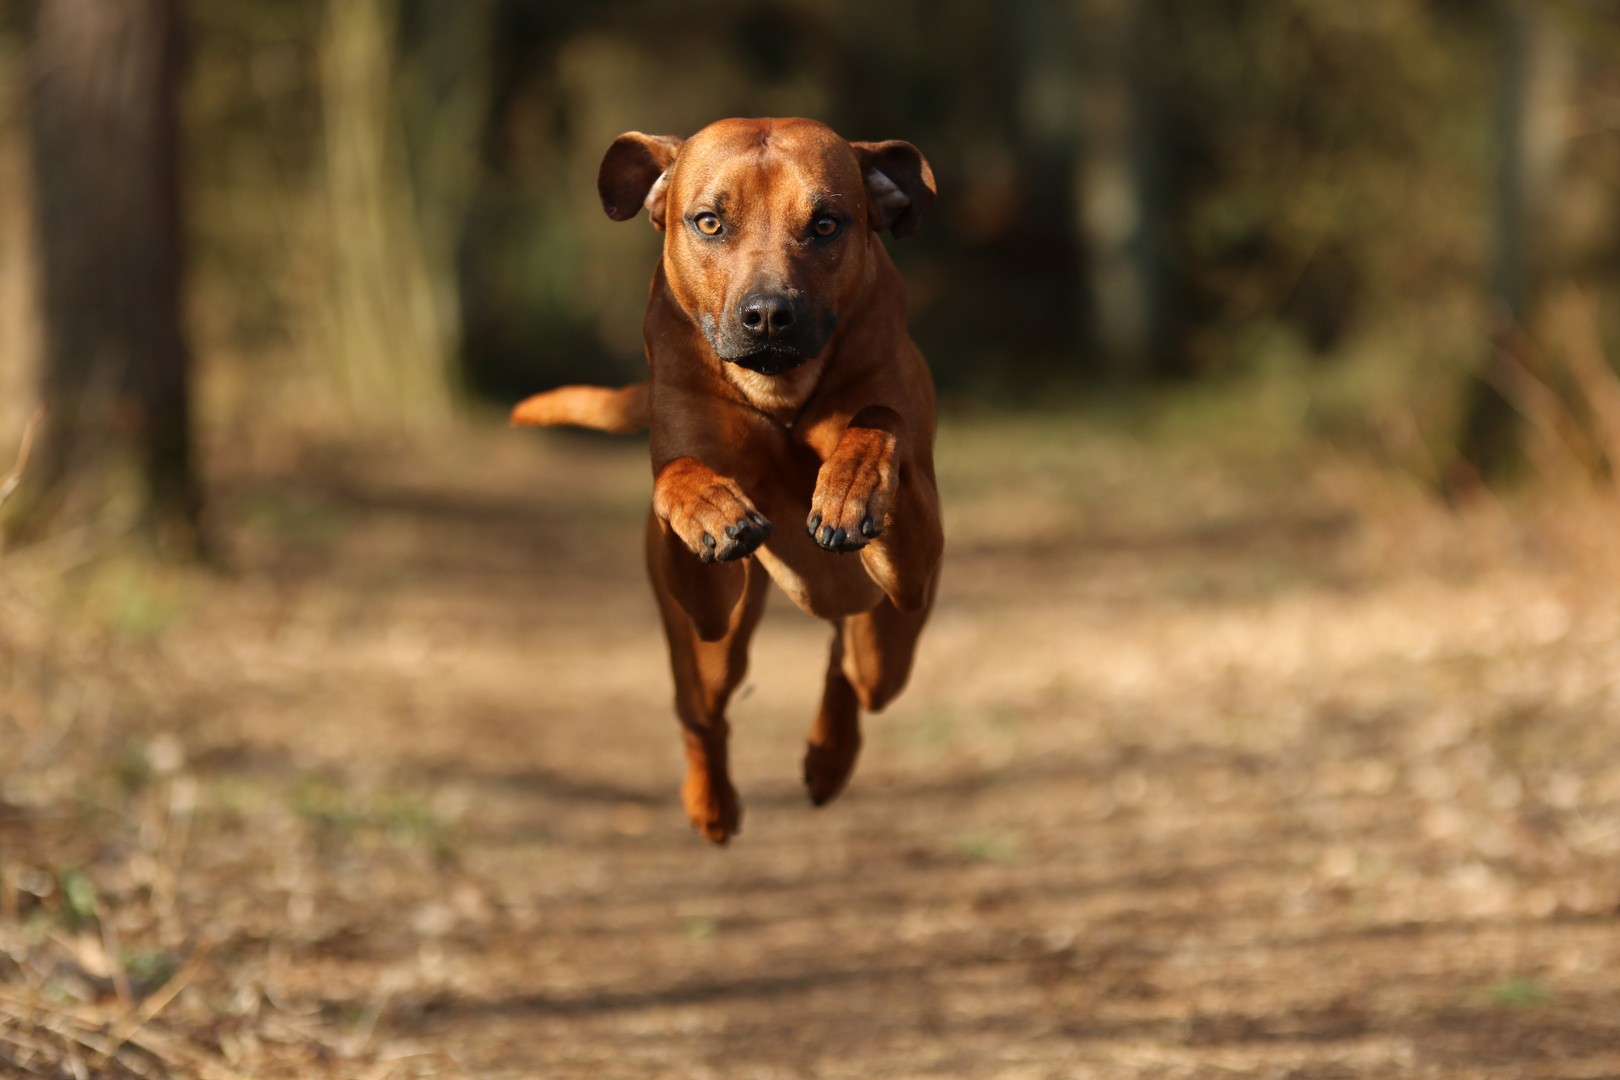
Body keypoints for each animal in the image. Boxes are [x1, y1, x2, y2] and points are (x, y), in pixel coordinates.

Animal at [511, 118, 946, 841]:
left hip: (888, 634)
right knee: (701, 711)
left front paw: (851, 483)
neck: (781, 394)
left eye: (826, 224)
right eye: (709, 222)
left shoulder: (917, 563)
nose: (768, 314)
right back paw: (710, 802)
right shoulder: (705, 598)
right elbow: (676, 472)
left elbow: (879, 418)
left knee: (853, 668)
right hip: (710, 650)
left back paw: (828, 757)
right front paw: (710, 506)